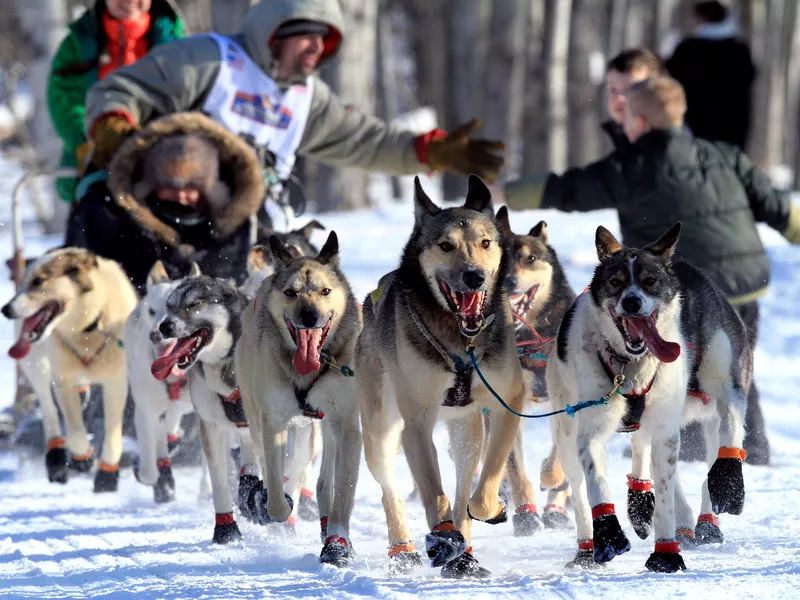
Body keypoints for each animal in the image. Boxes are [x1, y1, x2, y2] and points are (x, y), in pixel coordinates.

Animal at [1, 248, 137, 492]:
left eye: (39, 281)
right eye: (24, 282)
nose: (5, 309)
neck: (88, 328)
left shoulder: (116, 382)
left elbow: (113, 432)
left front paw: (107, 475)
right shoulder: (63, 380)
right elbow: (74, 429)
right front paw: (82, 457)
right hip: (37, 365)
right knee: (48, 408)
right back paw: (56, 456)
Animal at [354, 176, 524, 580]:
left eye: (486, 242)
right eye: (445, 245)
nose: (474, 276)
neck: (462, 338)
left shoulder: (509, 401)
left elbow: (487, 481)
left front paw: (491, 509)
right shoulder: (417, 421)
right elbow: (433, 491)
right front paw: (444, 537)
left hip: (466, 432)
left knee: (463, 485)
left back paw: (464, 553)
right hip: (381, 431)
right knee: (389, 488)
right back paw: (408, 548)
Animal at [548, 224, 752, 572]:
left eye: (650, 280)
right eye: (616, 282)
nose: (631, 302)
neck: (631, 365)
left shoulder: (719, 398)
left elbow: (724, 437)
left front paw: (666, 554)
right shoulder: (592, 430)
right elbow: (596, 482)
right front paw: (609, 532)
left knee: (705, 445)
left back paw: (704, 518)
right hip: (566, 433)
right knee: (579, 487)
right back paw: (589, 547)